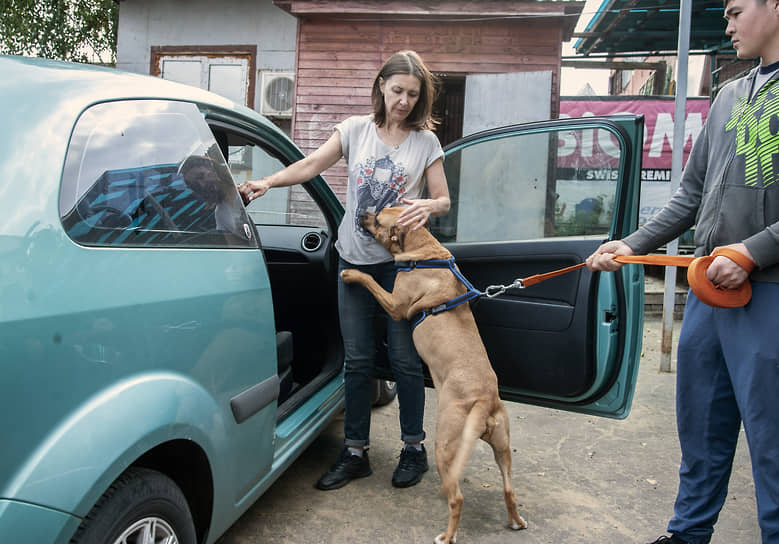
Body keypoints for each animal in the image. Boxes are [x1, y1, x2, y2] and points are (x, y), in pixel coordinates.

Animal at [340, 207, 528, 544]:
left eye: (377, 220)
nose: (362, 213)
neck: (424, 251)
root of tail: (484, 400)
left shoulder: (396, 305)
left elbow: (370, 281)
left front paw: (351, 274)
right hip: (503, 448)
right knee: (509, 491)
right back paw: (516, 521)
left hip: (445, 444)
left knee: (457, 499)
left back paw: (447, 534)